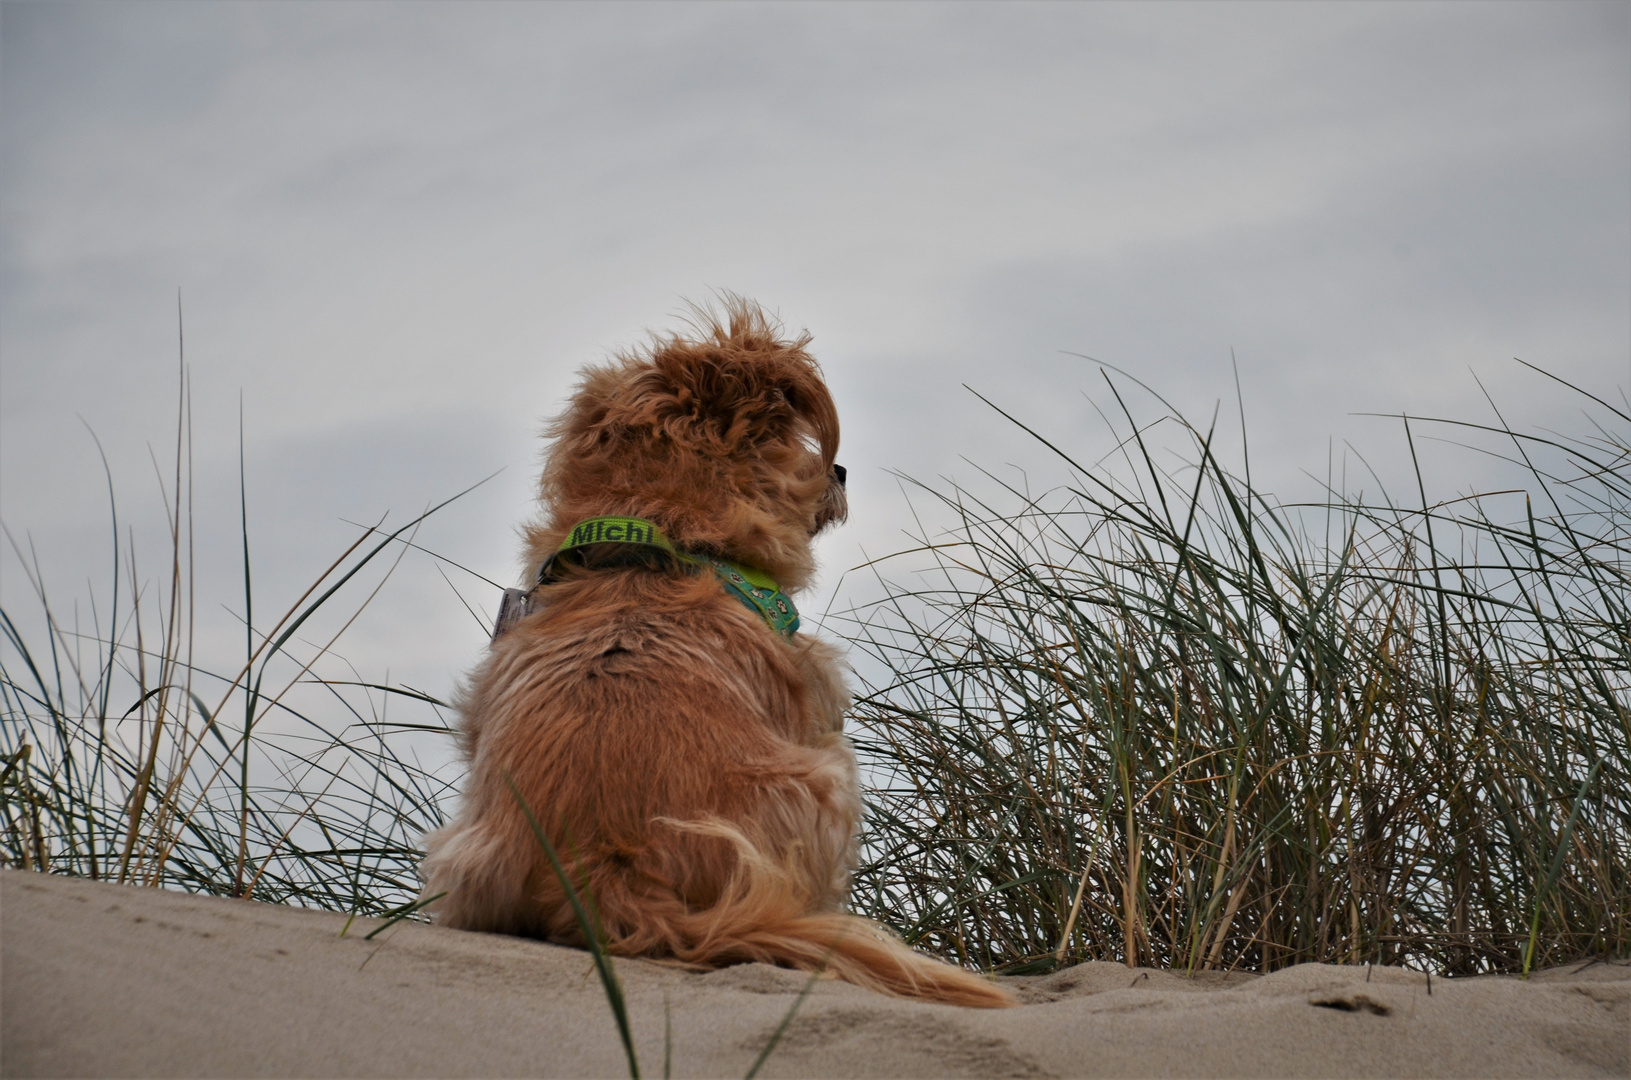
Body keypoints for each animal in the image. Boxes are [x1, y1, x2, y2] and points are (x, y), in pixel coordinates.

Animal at [414, 293, 1011, 1004]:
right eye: (790, 446)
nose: (840, 469)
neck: (655, 549)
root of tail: (608, 866)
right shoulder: (818, 704)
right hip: (827, 782)